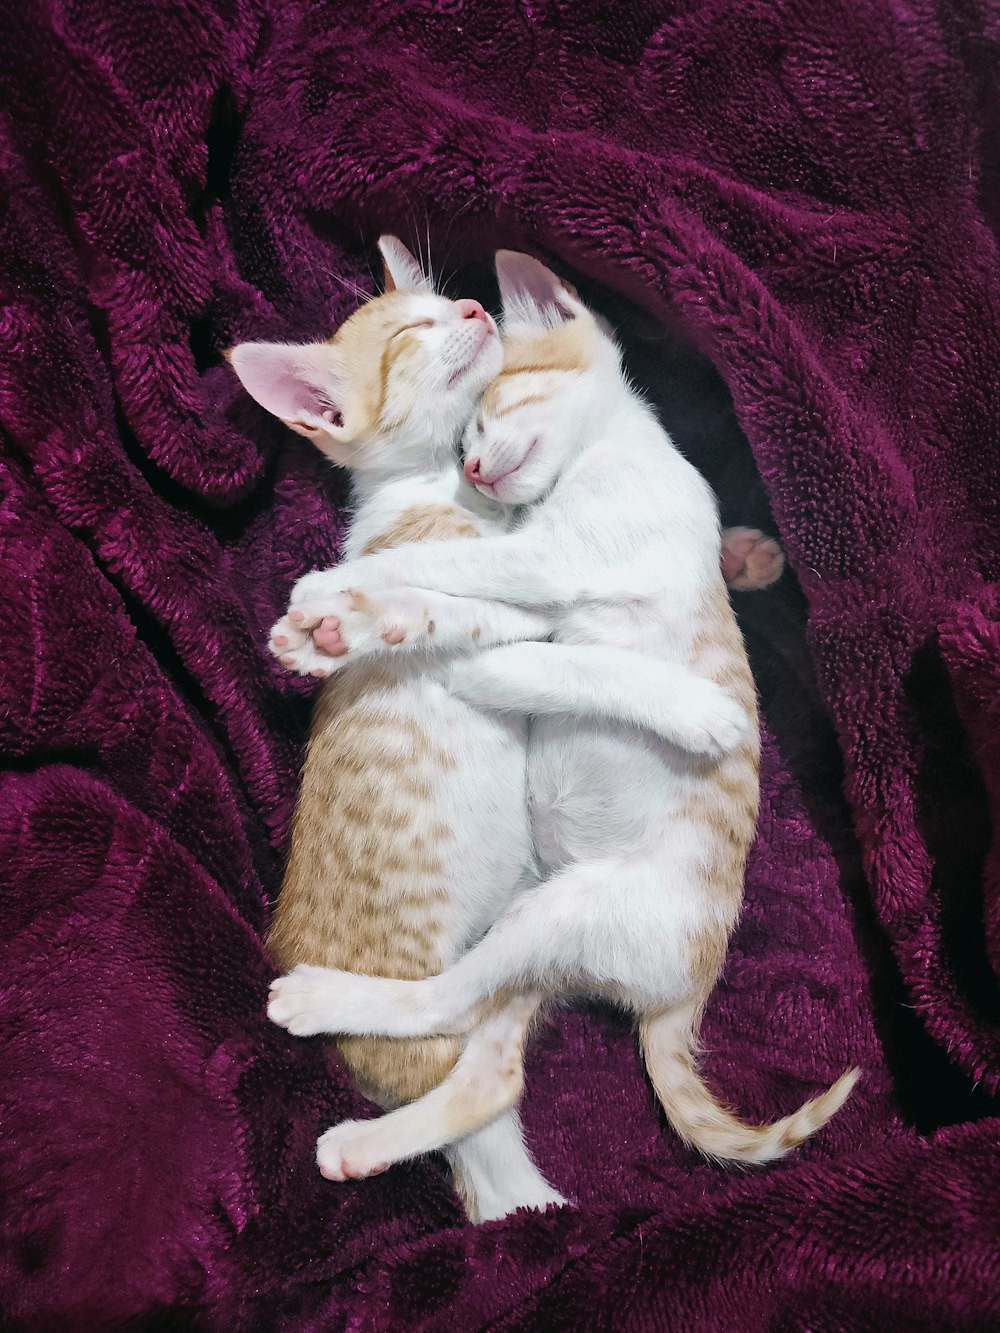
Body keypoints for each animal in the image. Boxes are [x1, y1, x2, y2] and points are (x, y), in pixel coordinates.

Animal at [268, 251, 864, 1189]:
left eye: (487, 414)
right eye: (462, 441)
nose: (475, 469)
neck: (614, 449)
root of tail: (685, 991)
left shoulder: (549, 566)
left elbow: (465, 589)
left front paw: (340, 596)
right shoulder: (534, 580)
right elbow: (458, 599)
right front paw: (348, 615)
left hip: (561, 911)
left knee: (449, 1008)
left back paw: (328, 1005)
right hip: (535, 924)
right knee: (485, 1055)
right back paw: (368, 1142)